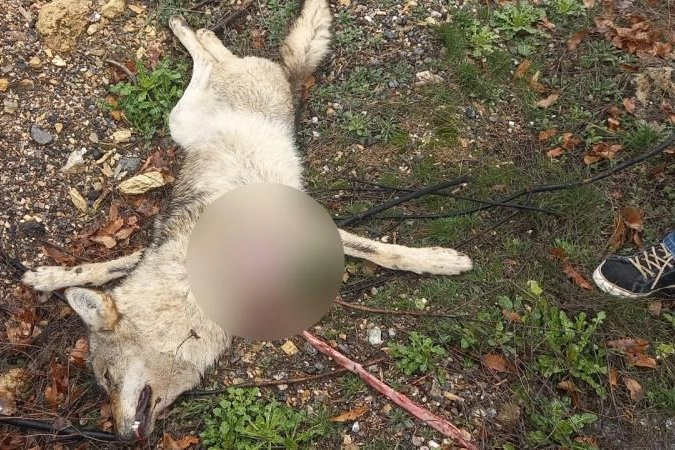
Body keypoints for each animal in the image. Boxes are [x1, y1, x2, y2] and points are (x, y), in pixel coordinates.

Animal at [22, 0, 472, 441]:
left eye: (108, 378)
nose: (118, 436)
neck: (196, 283)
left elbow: (384, 252)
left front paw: (442, 261)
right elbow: (104, 267)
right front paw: (46, 277)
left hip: (217, 100)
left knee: (214, 52)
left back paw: (190, 28)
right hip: (181, 121)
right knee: (207, 54)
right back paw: (185, 25)